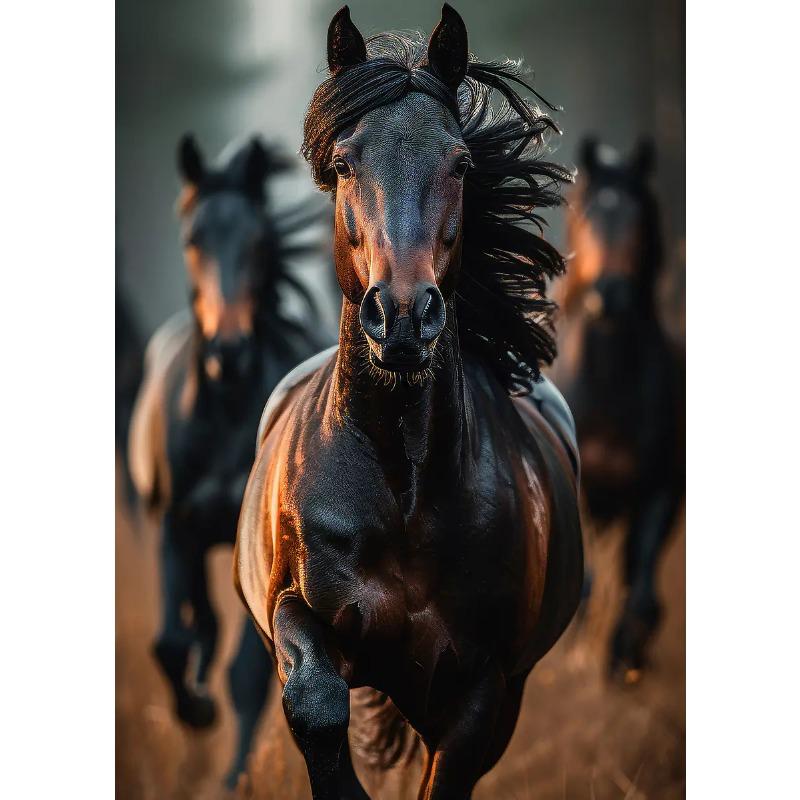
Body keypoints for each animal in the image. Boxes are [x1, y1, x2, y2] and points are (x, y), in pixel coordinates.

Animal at [127, 134, 323, 786]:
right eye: (194, 239)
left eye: (260, 240)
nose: (230, 351)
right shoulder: (174, 525)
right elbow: (168, 641)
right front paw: (195, 711)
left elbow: (248, 676)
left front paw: (234, 775)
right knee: (200, 625)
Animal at [234, 6, 583, 798]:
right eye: (343, 163)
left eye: (459, 163)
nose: (401, 316)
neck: (401, 481)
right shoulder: (293, 608)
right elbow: (316, 704)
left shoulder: (483, 687)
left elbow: (448, 769)